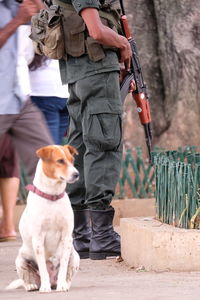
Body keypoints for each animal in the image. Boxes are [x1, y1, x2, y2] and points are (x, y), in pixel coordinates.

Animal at [7, 145, 80, 292]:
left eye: (72, 160)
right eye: (60, 161)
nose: (77, 174)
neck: (53, 197)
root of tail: (53, 281)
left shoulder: (67, 237)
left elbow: (63, 267)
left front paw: (62, 285)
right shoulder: (38, 239)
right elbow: (42, 268)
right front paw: (44, 288)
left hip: (75, 256)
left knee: (67, 275)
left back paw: (63, 284)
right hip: (20, 260)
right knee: (27, 279)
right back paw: (33, 285)